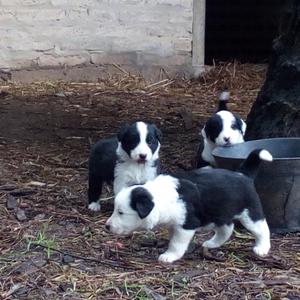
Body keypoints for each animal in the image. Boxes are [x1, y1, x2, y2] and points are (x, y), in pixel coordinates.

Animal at [106, 149, 274, 264]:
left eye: (121, 212)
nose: (107, 227)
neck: (160, 197)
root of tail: (243, 175)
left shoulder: (186, 226)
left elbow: (176, 243)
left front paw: (169, 256)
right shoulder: (174, 224)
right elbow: (173, 238)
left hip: (250, 214)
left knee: (262, 230)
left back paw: (262, 248)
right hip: (220, 213)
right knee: (226, 229)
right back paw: (212, 243)